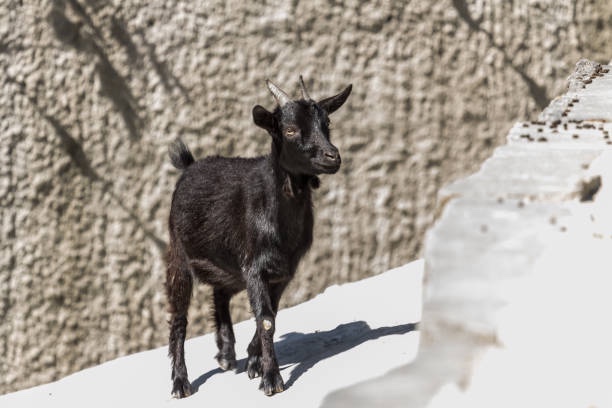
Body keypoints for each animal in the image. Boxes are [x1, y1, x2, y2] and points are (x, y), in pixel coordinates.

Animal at [165, 77, 352, 397]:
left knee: (220, 294)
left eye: (327, 123)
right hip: (179, 257)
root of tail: (189, 166)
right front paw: (272, 379)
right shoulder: (254, 267)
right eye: (290, 130)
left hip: (227, 265)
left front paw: (254, 362)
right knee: (179, 317)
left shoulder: (283, 270)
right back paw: (180, 382)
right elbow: (265, 321)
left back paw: (226, 353)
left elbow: (270, 315)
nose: (333, 157)